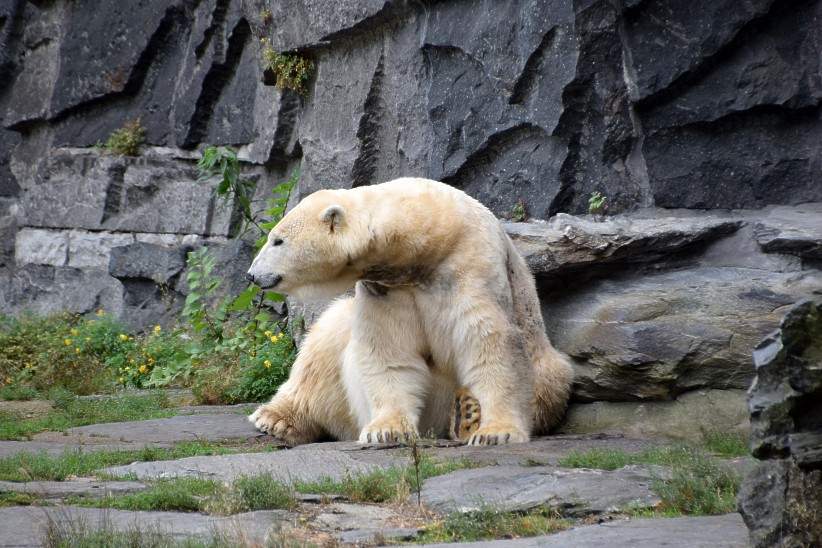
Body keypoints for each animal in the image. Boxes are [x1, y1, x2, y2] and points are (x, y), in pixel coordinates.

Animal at [248, 180, 576, 446]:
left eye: (277, 240)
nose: (252, 274)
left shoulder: (472, 265)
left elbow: (490, 342)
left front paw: (496, 432)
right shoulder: (387, 289)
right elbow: (389, 351)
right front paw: (387, 430)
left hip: (545, 374)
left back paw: (466, 415)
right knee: (324, 345)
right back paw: (274, 419)